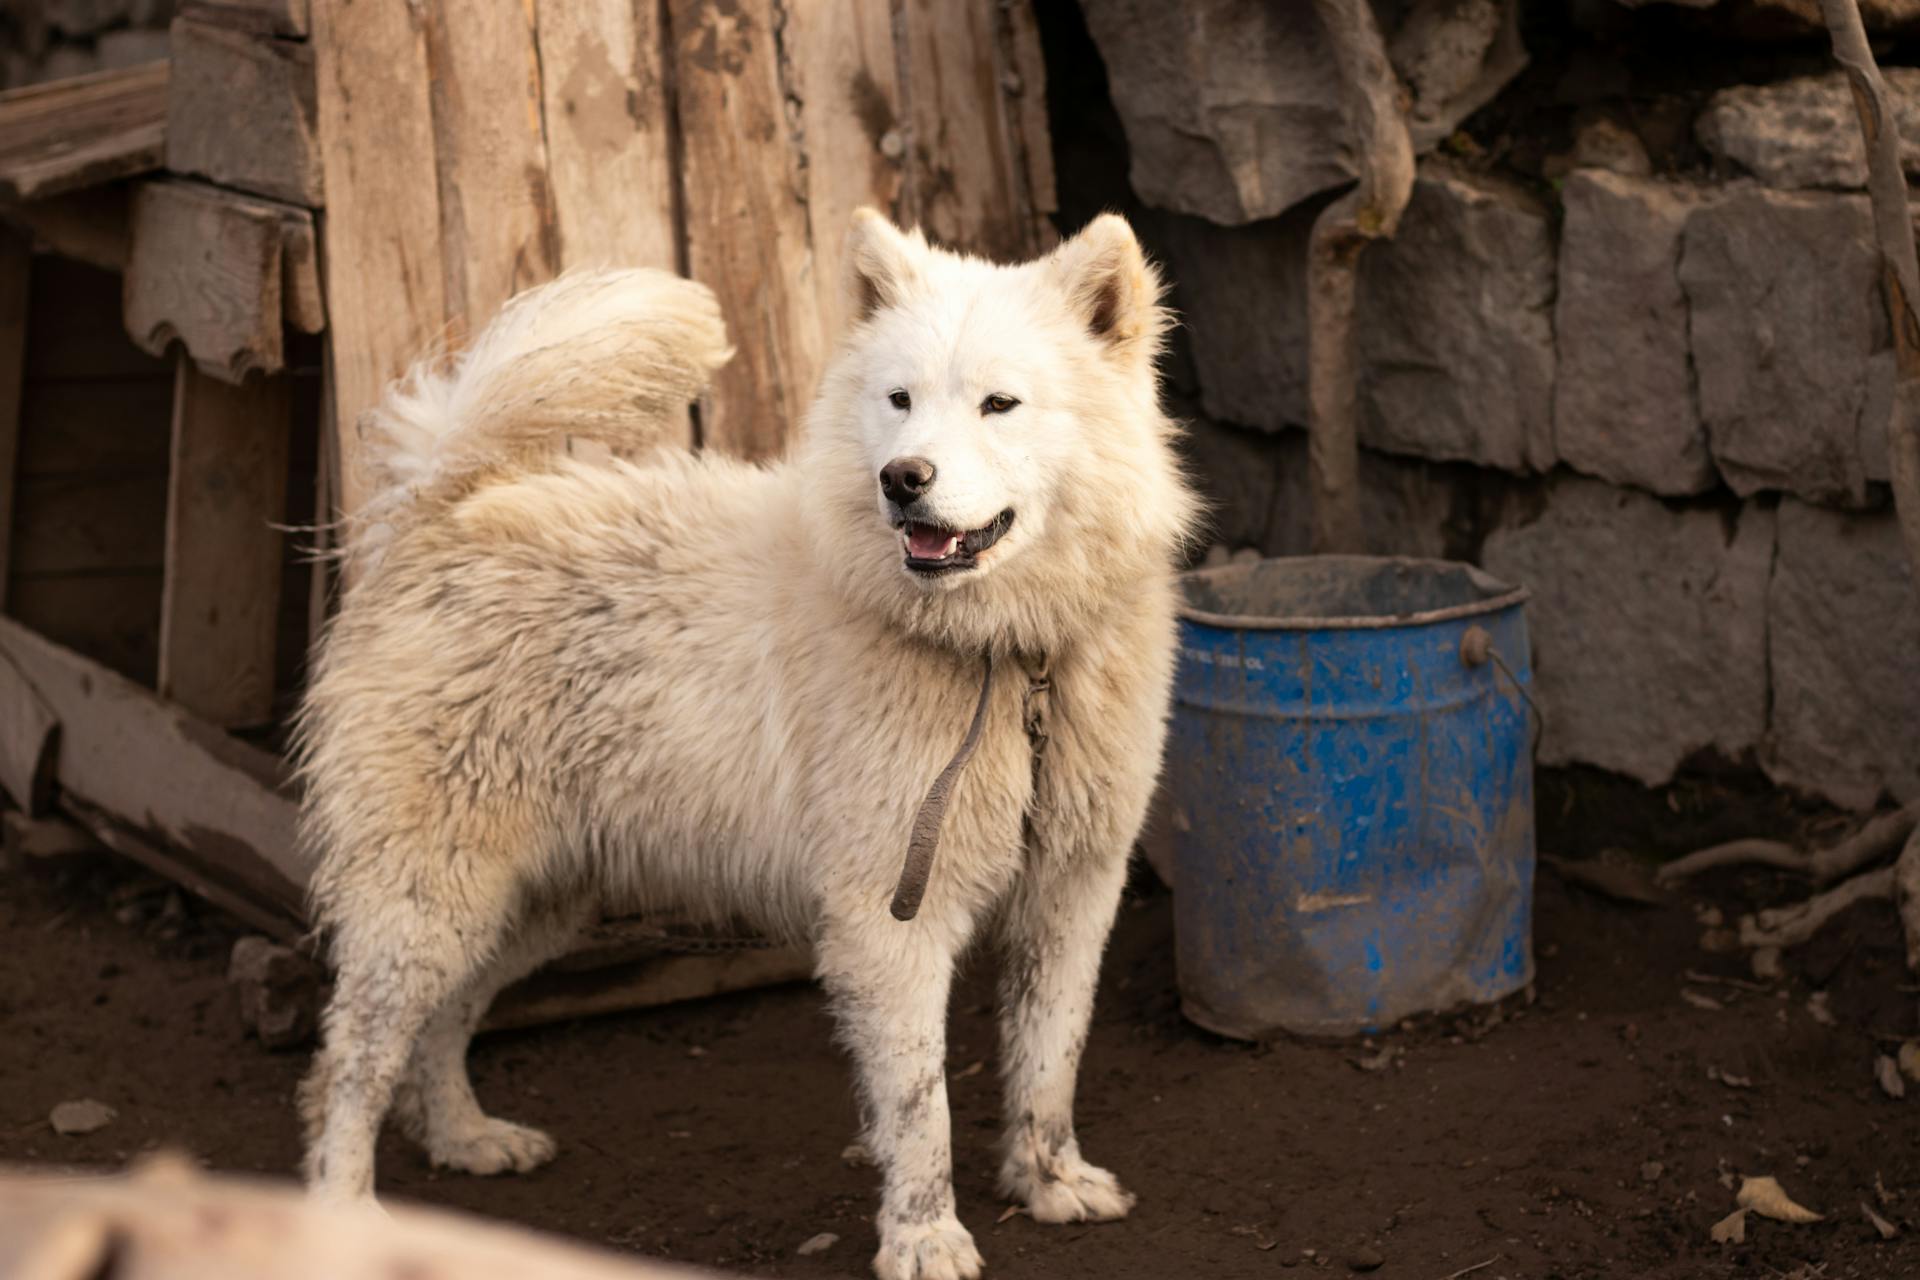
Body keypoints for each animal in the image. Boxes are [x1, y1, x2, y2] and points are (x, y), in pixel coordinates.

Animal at [295, 213, 1198, 1280]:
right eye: (899, 400)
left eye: (999, 403)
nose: (902, 480)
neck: (1012, 663)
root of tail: (442, 507)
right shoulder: (891, 918)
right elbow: (919, 1106)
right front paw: (925, 1237)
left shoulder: (1072, 892)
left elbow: (1049, 1061)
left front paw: (1049, 1183)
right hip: (432, 897)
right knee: (349, 1061)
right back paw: (342, 1213)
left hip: (525, 904)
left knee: (440, 1025)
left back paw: (466, 1139)